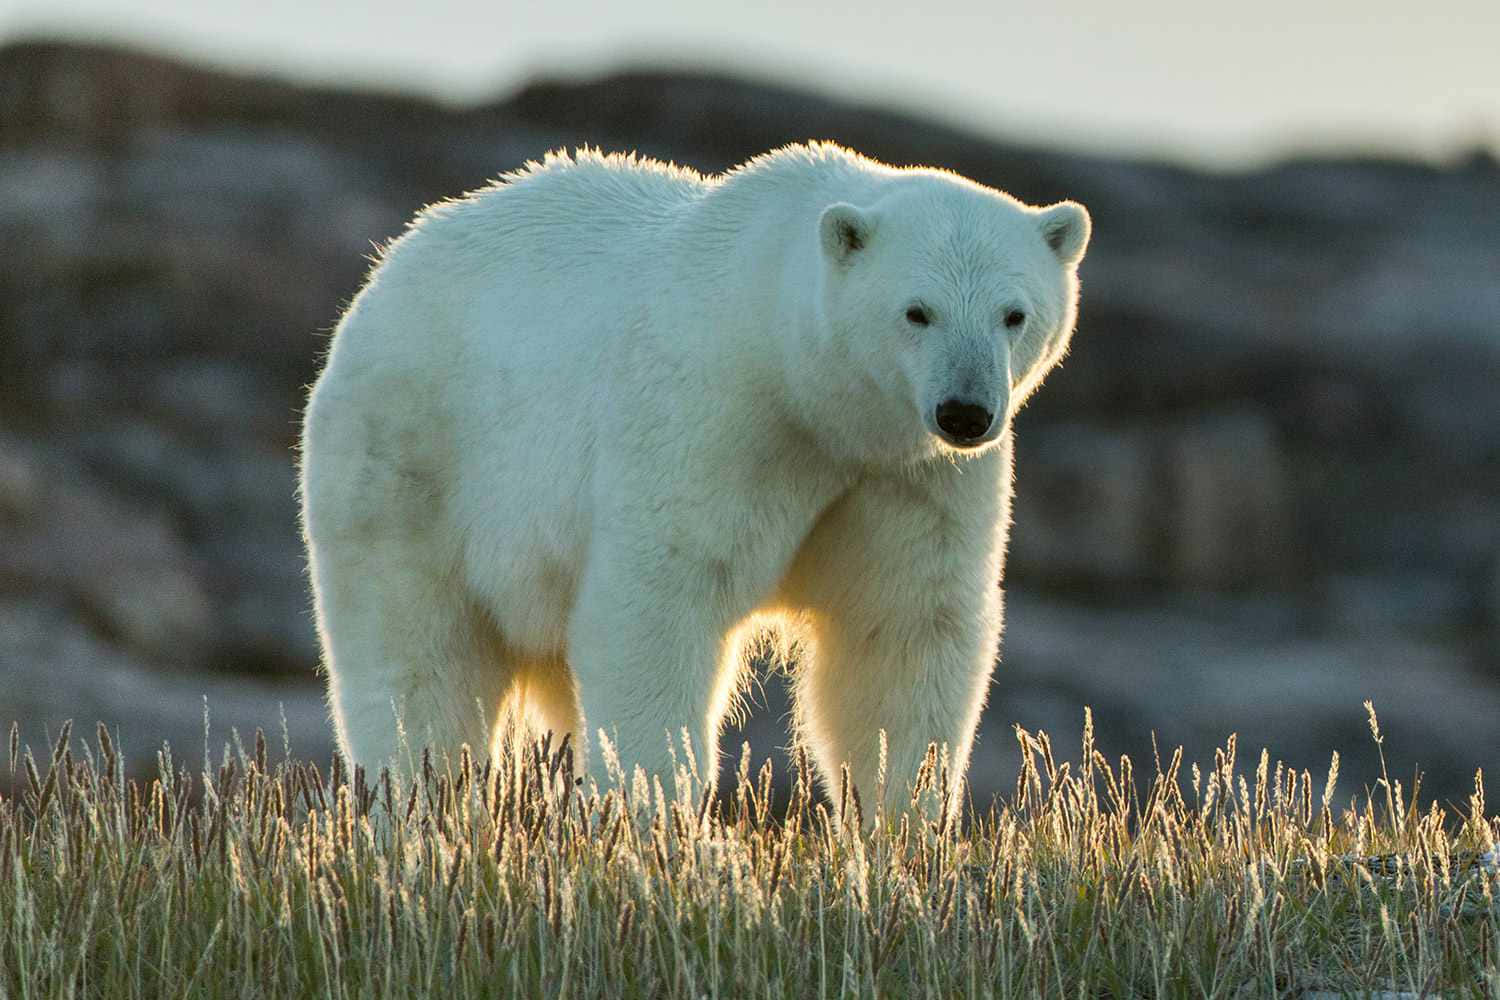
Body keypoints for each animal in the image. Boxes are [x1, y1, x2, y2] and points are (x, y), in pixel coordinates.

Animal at [299, 142, 1089, 812]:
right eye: (916, 311)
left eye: (1015, 315)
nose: (965, 412)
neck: (807, 393)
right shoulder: (712, 418)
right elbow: (658, 605)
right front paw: (656, 816)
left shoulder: (906, 476)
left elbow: (902, 630)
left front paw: (905, 822)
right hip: (411, 458)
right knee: (416, 666)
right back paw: (419, 808)